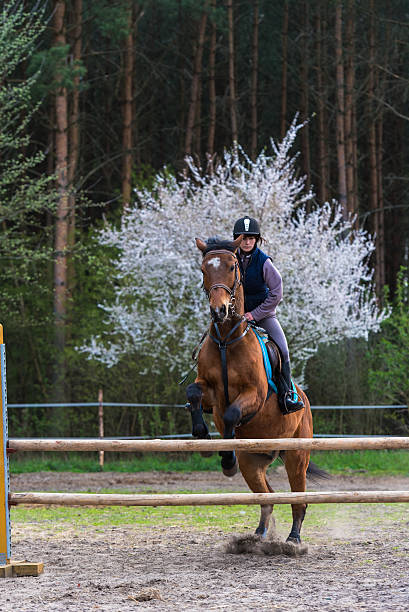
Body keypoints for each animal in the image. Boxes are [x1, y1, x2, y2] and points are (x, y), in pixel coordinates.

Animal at [186, 235, 314, 544]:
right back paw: (258, 536)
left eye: (233, 267)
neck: (226, 339)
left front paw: (226, 457)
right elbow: (194, 394)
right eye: (204, 269)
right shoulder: (210, 392)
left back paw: (293, 539)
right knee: (267, 496)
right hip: (253, 461)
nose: (219, 311)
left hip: (297, 455)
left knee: (299, 498)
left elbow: (232, 415)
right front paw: (202, 437)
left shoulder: (253, 396)